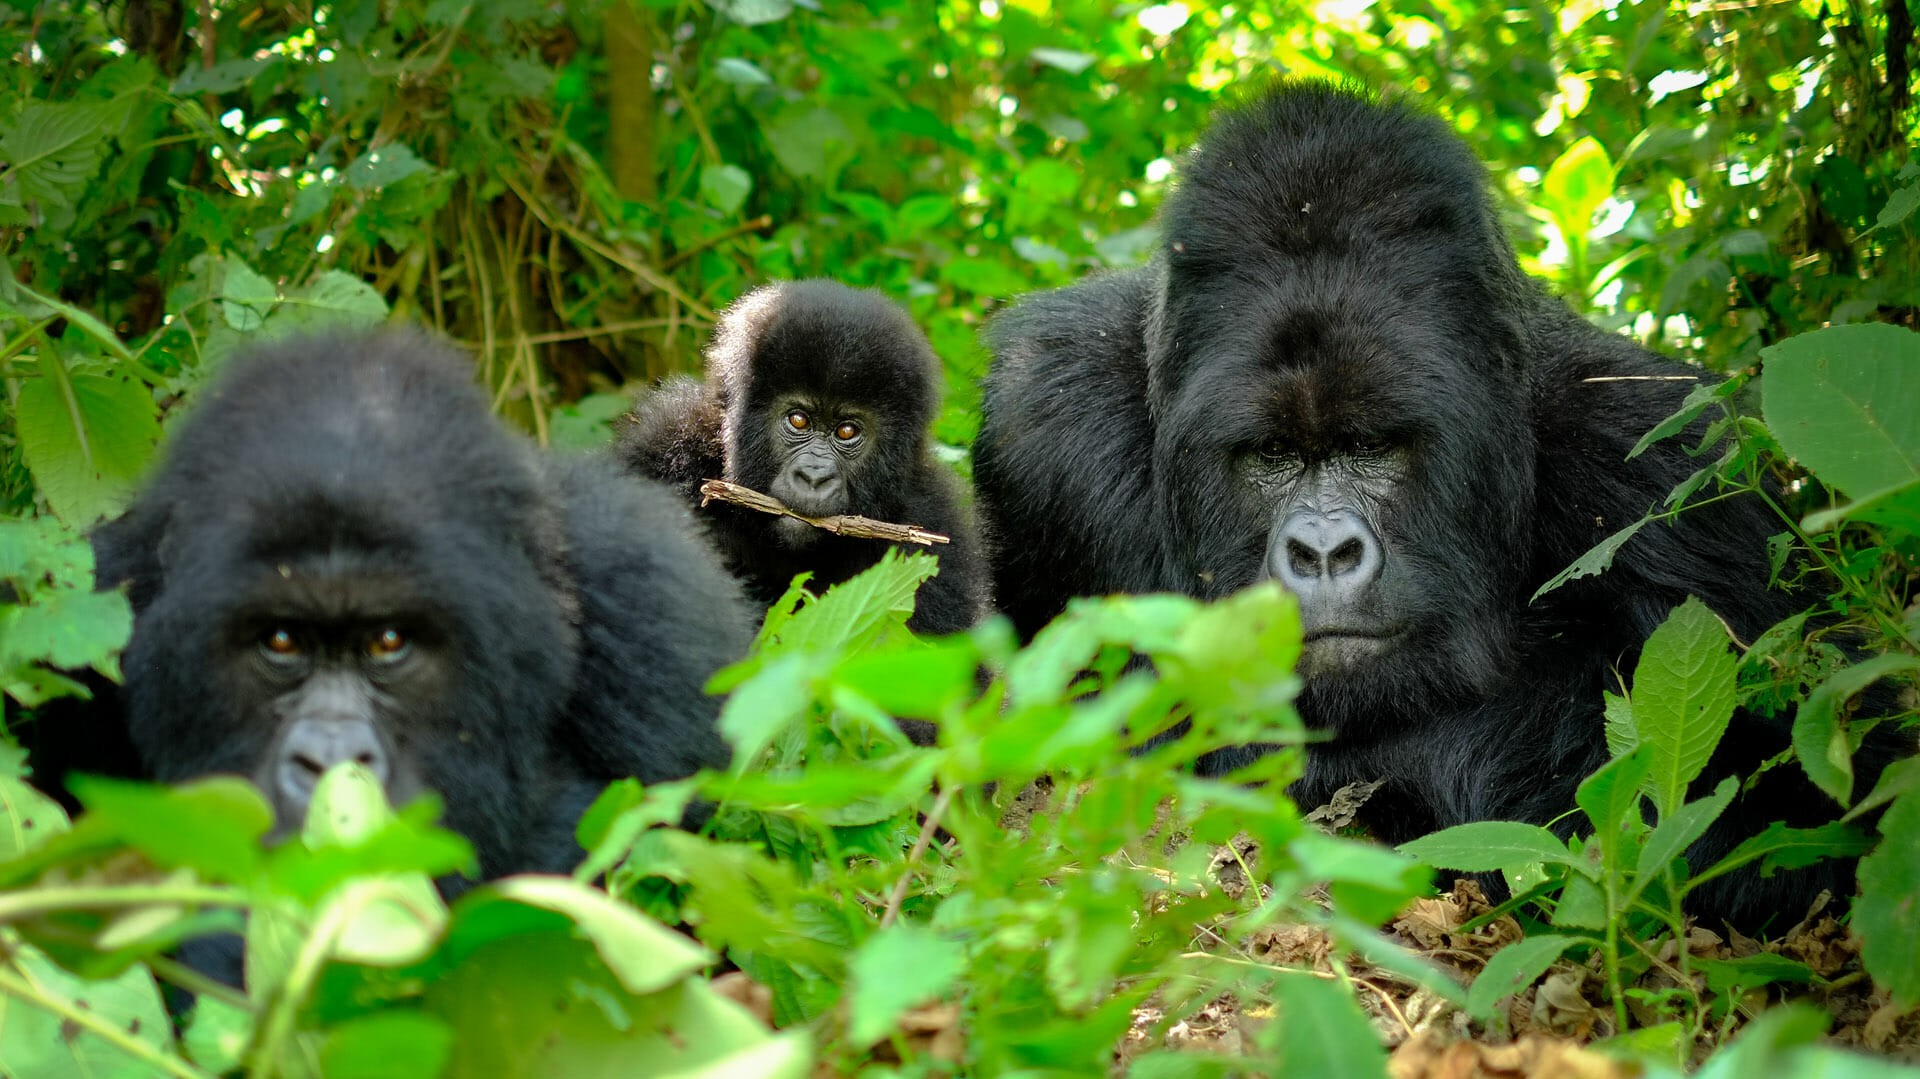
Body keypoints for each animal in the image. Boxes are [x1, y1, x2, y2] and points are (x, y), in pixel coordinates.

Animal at [975, 83, 1889, 925]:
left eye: (1373, 446)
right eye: (1272, 455)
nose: (1321, 553)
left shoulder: (1672, 467)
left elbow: (1799, 794)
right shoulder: (1047, 422)